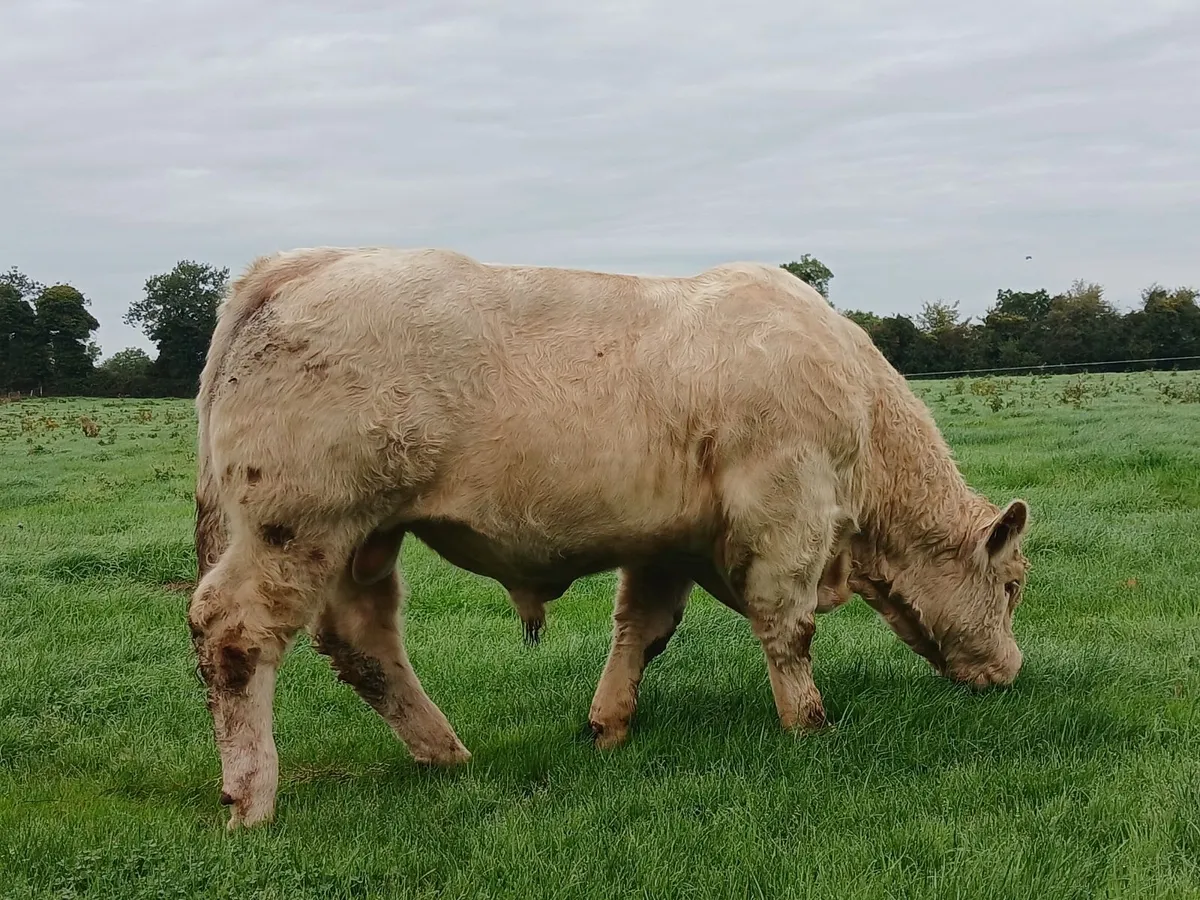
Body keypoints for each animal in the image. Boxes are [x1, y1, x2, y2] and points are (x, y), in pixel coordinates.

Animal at [188, 247, 1031, 829]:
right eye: (1015, 584)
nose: (1012, 671)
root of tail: (299, 263)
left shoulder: (668, 545)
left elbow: (644, 630)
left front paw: (609, 726)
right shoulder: (787, 513)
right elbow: (788, 629)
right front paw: (809, 725)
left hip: (365, 537)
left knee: (363, 641)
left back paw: (445, 753)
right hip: (296, 524)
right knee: (234, 630)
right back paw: (251, 797)